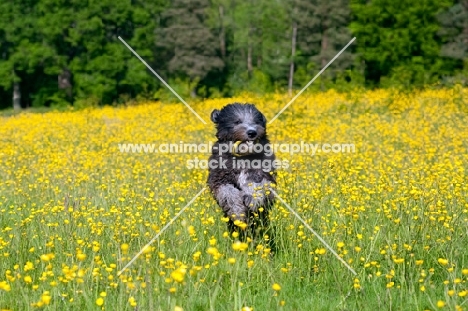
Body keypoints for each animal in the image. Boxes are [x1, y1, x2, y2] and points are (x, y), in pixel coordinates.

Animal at [207, 103, 276, 241]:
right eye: (237, 121)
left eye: (256, 121)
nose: (252, 132)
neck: (242, 156)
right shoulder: (219, 179)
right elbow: (228, 192)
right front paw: (238, 212)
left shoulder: (263, 174)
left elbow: (258, 185)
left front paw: (252, 200)